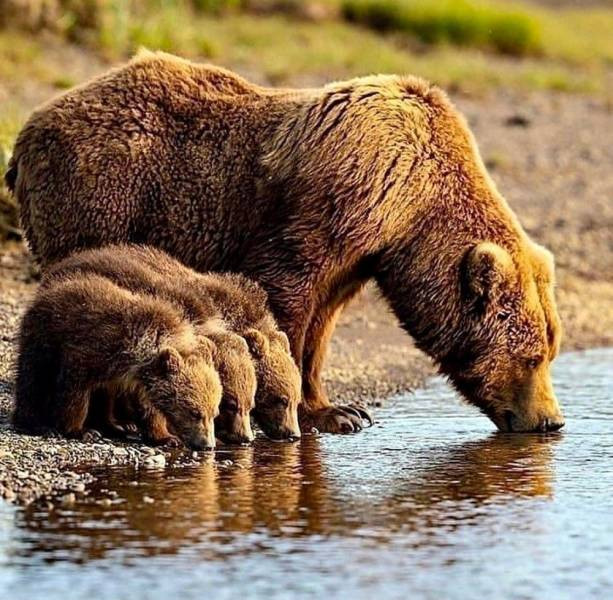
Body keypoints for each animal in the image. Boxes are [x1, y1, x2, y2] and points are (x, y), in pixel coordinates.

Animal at [13, 274, 222, 448]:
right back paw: (36, 424)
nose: (208, 445)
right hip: (44, 338)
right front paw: (80, 430)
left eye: (214, 413)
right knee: (34, 380)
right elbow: (75, 391)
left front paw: (166, 437)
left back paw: (118, 426)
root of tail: (48, 291)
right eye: (194, 412)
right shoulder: (92, 350)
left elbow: (149, 408)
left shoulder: (135, 378)